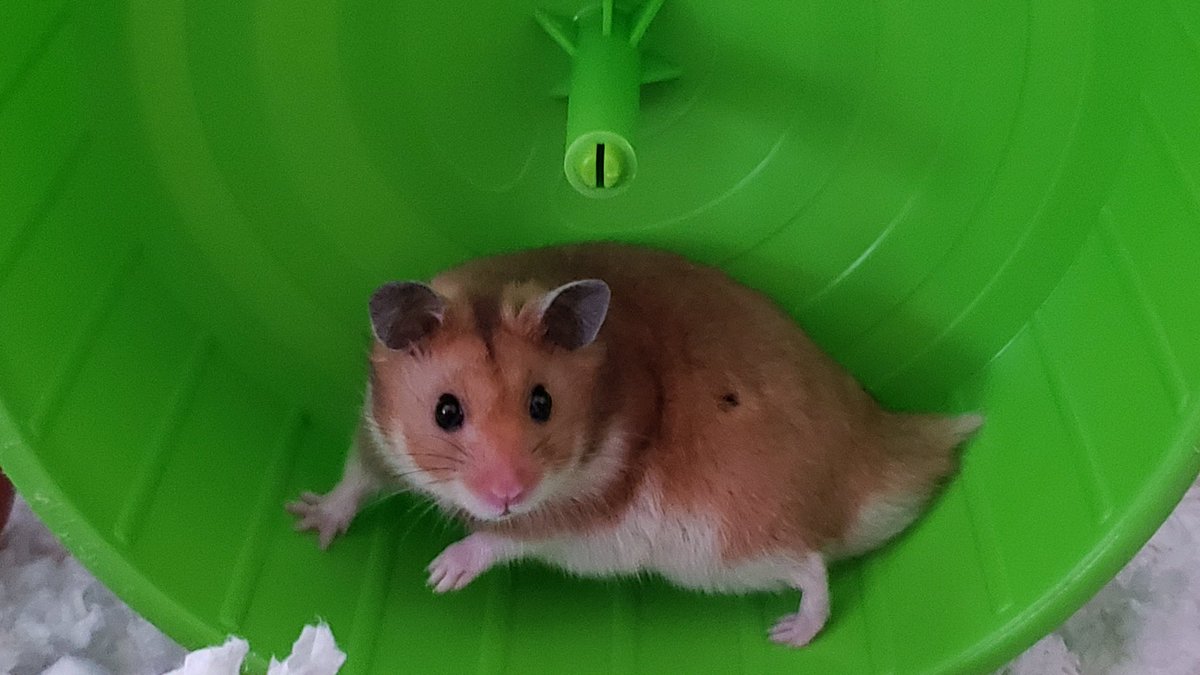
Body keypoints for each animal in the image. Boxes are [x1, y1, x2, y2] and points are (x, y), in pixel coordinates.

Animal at [287, 242, 982, 647]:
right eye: (445, 411)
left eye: (542, 403)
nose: (508, 493)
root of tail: (883, 447)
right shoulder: (377, 437)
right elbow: (353, 480)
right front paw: (307, 524)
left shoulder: (574, 515)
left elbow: (501, 539)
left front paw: (440, 576)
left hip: (728, 550)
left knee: (813, 567)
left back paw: (788, 635)